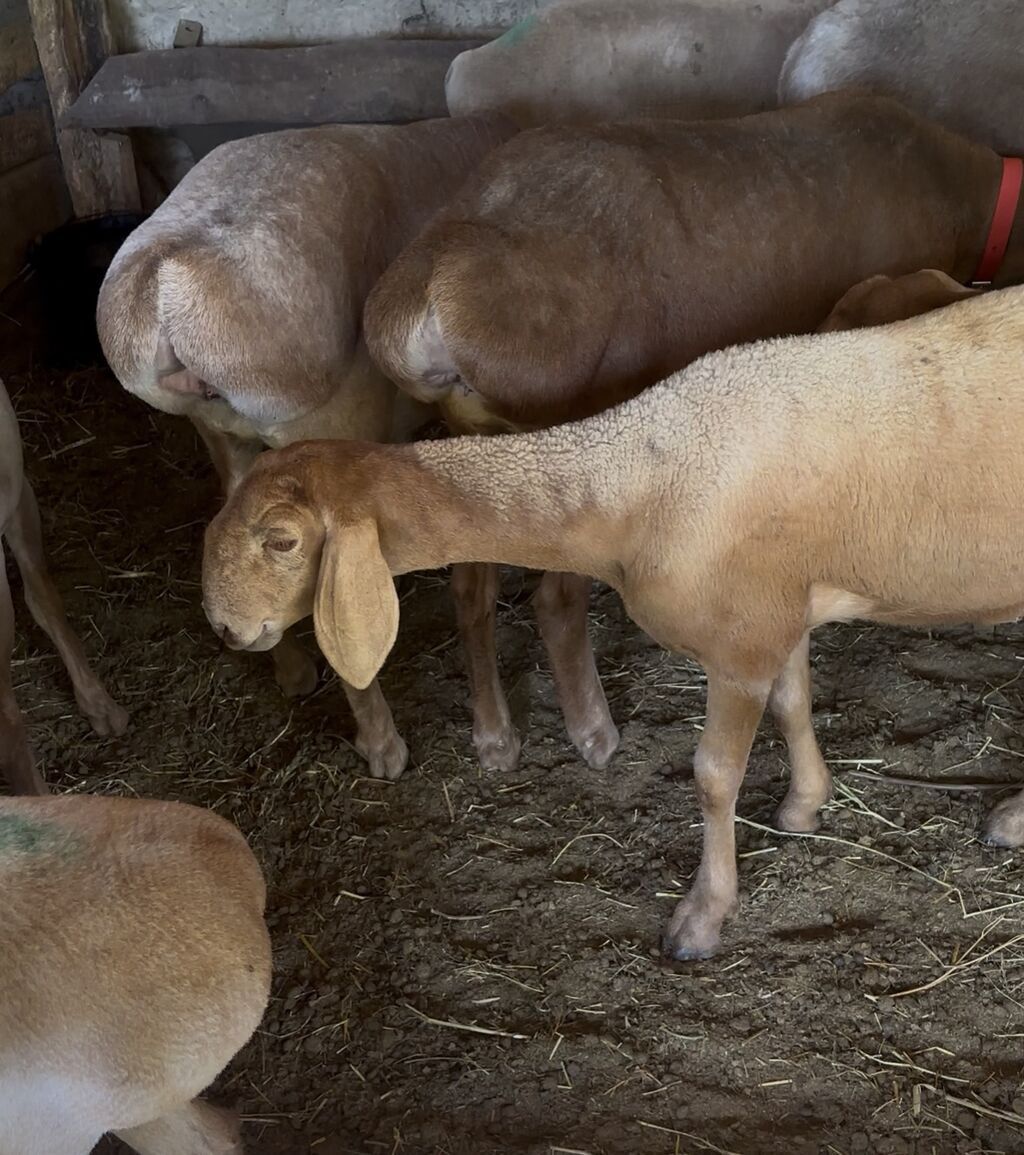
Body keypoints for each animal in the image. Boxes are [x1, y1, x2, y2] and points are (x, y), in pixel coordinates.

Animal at [202, 280, 1024, 959]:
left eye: (282, 540)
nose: (225, 627)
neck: (634, 484)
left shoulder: (737, 645)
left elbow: (713, 775)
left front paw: (701, 917)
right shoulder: (773, 610)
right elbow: (794, 702)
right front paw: (803, 804)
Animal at [363, 91, 1024, 774]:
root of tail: (430, 291)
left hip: (473, 445)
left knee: (470, 589)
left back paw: (495, 736)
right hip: (570, 449)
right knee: (555, 600)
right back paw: (593, 731)